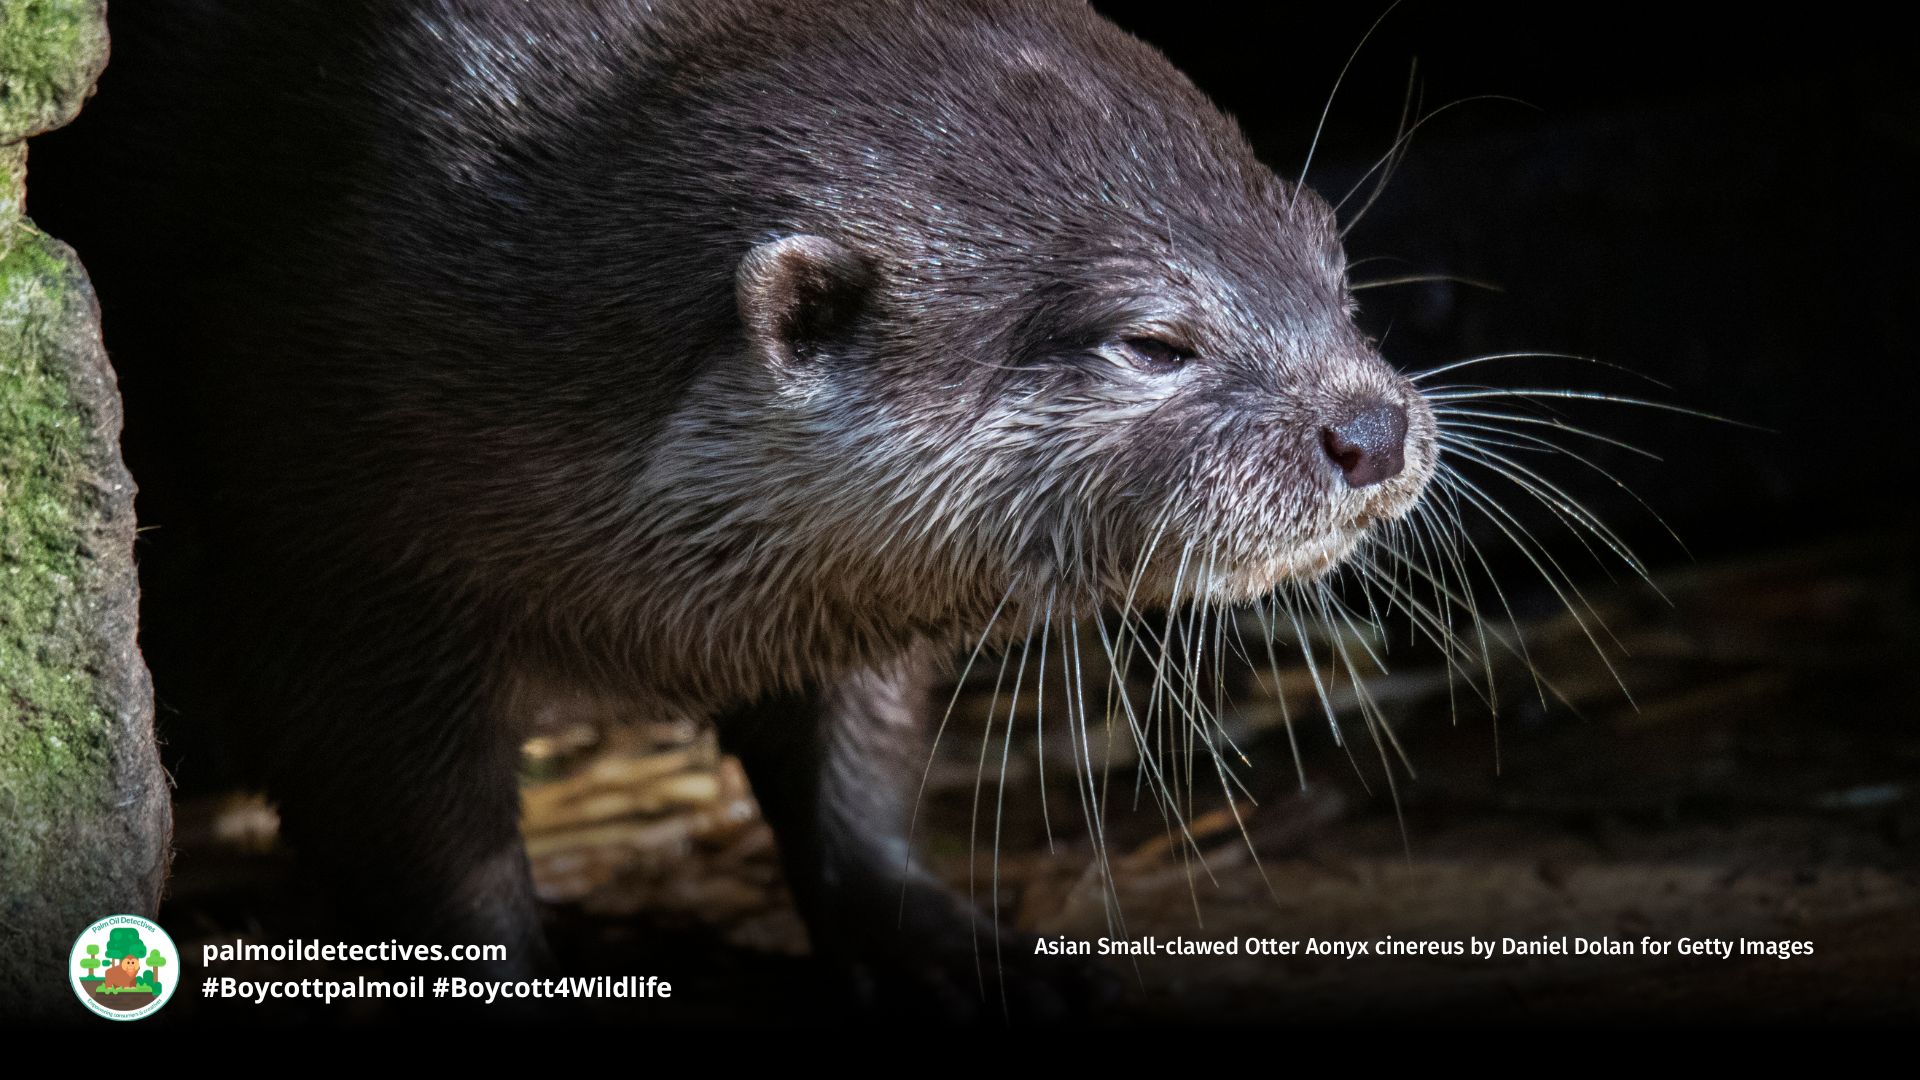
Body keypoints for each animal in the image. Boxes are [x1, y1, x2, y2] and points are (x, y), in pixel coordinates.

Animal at [35, 0, 1437, 1011]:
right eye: (1153, 343)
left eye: (1333, 264)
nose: (1371, 430)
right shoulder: (331, 561)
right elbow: (408, 825)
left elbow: (854, 766)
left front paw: (937, 940)